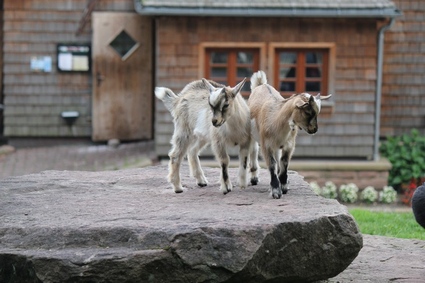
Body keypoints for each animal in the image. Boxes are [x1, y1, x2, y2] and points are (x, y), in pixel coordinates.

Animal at [248, 71, 332, 200]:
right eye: (307, 112)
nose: (314, 129)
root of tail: (261, 84)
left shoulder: (289, 145)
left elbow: (284, 163)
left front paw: (283, 186)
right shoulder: (266, 146)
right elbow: (272, 165)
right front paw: (276, 191)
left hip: (277, 146)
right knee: (253, 151)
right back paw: (254, 179)